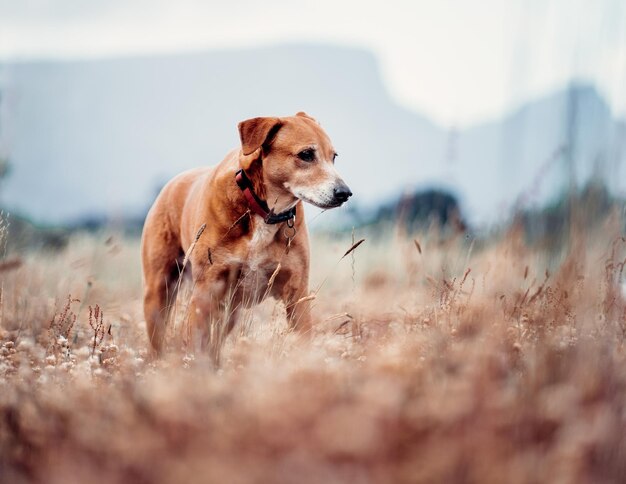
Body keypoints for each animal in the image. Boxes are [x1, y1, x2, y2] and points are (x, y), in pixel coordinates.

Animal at [140, 110, 352, 352]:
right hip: (159, 293)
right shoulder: (205, 292)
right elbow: (197, 347)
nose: (345, 193)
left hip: (229, 313)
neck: (265, 212)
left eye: (333, 157)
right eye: (306, 154)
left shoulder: (297, 294)